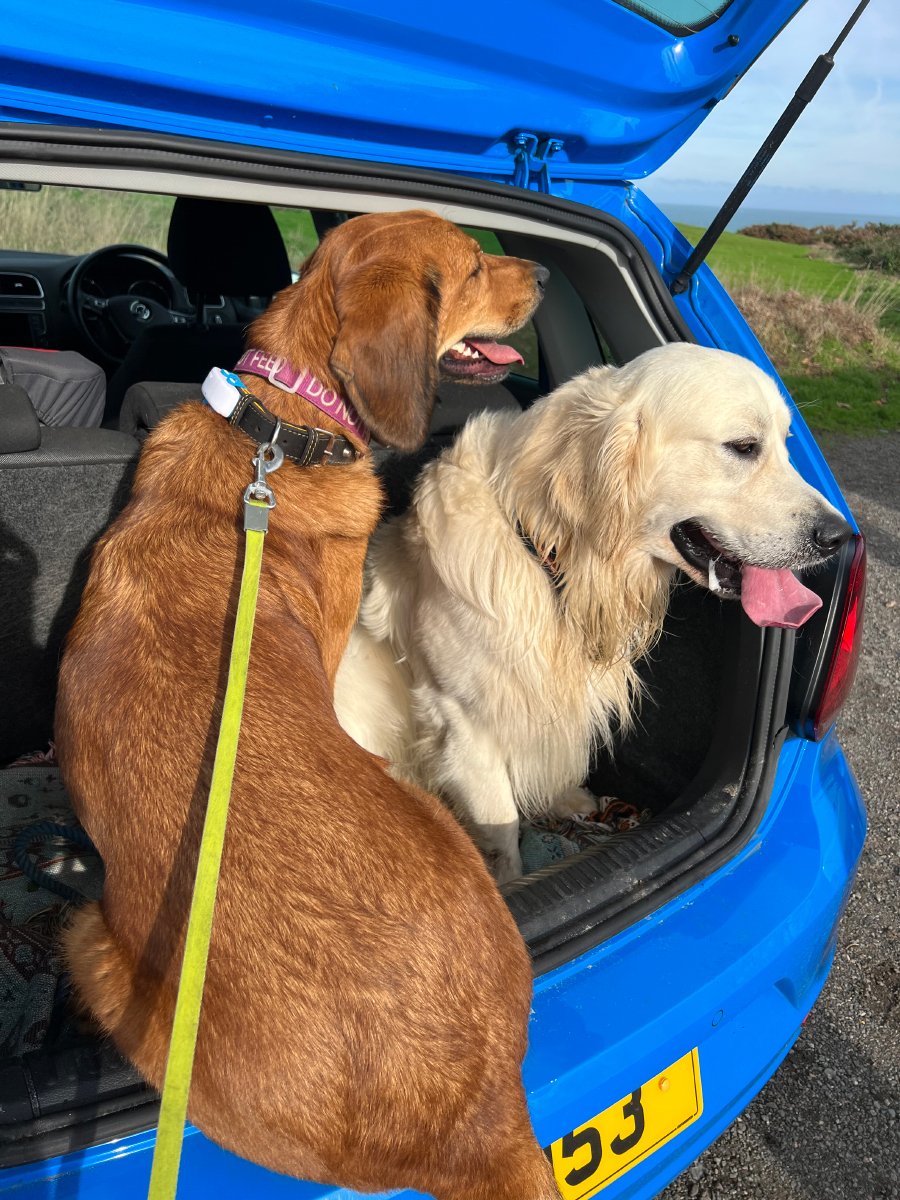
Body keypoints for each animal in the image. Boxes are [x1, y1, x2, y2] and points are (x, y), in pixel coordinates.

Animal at [336, 343, 854, 878]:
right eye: (745, 446)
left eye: (787, 445)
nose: (840, 536)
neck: (549, 557)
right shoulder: (463, 725)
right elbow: (501, 829)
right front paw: (509, 884)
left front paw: (565, 798)